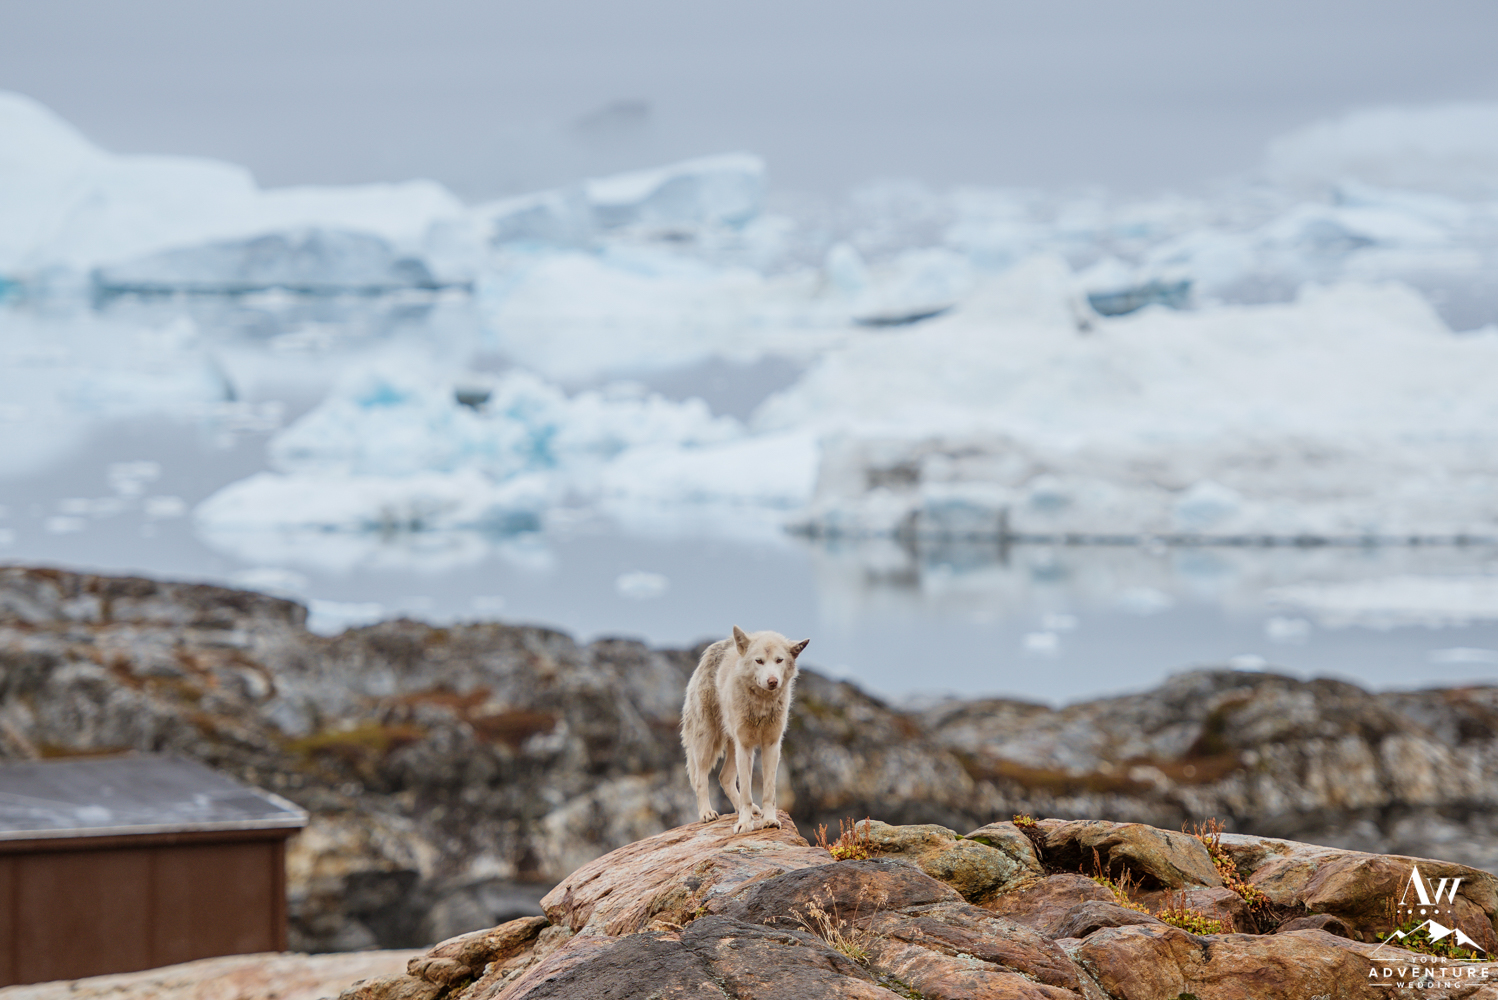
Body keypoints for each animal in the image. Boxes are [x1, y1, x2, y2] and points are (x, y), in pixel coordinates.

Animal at [681, 626, 809, 833]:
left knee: (724, 778)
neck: (761, 705)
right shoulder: (746, 746)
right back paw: (707, 814)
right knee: (700, 779)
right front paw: (744, 824)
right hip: (707, 743)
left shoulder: (772, 745)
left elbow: (769, 792)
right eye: (759, 661)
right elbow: (747, 794)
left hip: (732, 747)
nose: (772, 681)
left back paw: (753, 811)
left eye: (779, 660)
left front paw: (769, 820)